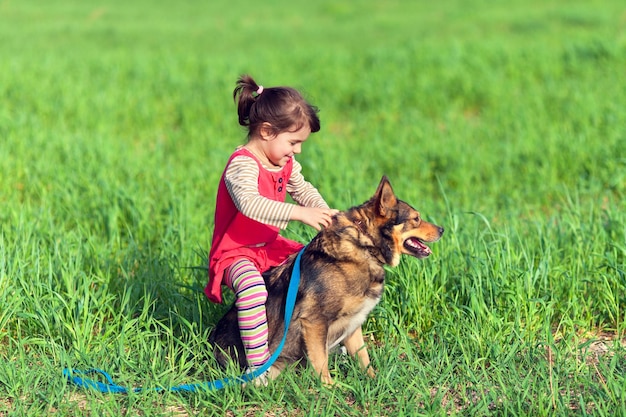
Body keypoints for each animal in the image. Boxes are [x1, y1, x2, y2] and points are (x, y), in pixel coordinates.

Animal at [207, 175, 442, 384]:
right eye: (416, 219)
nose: (442, 229)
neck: (364, 246)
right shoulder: (314, 322)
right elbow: (321, 362)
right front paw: (330, 390)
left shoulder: (353, 325)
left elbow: (363, 358)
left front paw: (374, 382)